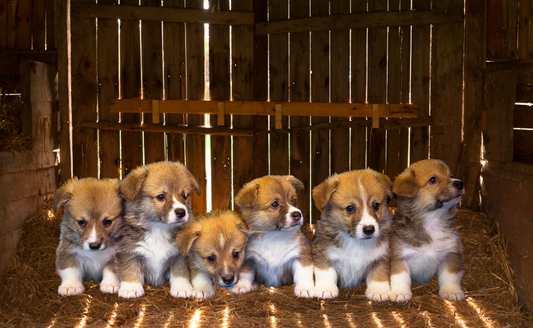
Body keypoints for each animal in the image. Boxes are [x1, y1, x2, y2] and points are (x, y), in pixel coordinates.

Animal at [115, 160, 201, 298]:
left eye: (184, 195)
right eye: (161, 197)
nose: (181, 212)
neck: (159, 228)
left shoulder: (179, 255)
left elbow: (180, 272)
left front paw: (182, 288)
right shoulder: (129, 252)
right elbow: (130, 270)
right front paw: (131, 288)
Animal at [310, 170, 392, 302]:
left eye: (376, 205)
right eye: (350, 208)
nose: (369, 229)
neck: (356, 242)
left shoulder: (381, 255)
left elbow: (379, 273)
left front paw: (378, 291)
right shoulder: (323, 253)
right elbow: (326, 272)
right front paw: (326, 289)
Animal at [386, 160, 466, 302]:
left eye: (450, 176)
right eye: (432, 180)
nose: (460, 183)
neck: (432, 221)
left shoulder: (452, 254)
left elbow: (450, 276)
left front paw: (452, 291)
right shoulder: (399, 257)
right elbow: (400, 277)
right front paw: (400, 292)